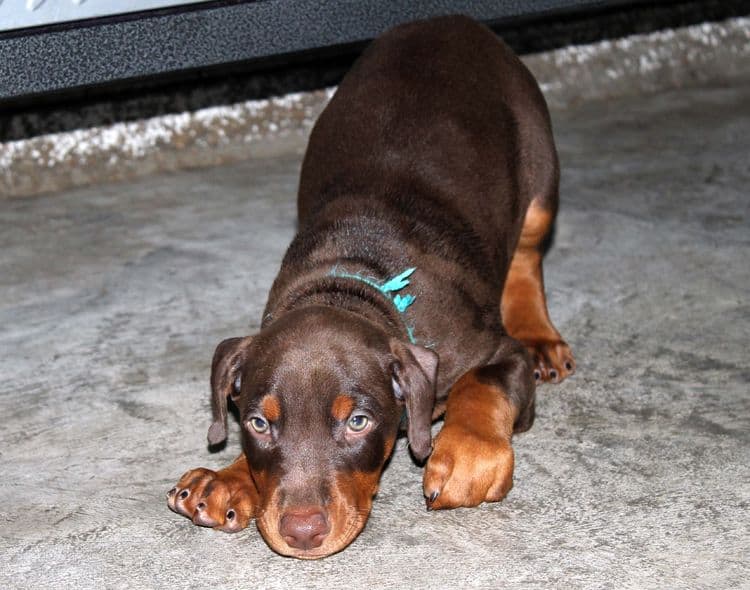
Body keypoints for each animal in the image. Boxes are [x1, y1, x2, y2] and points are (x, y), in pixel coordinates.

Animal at [166, 13, 576, 560]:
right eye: (258, 423)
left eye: (357, 421)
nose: (302, 532)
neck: (352, 282)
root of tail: (449, 20)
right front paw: (229, 479)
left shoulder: (494, 351)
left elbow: (481, 385)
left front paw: (465, 456)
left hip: (538, 165)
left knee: (528, 253)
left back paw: (541, 335)